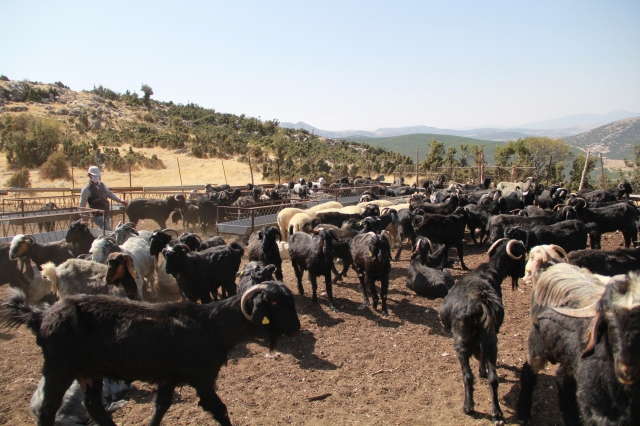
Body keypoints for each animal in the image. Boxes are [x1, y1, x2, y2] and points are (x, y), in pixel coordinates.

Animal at [440, 240, 524, 422]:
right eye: (522, 254)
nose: (522, 272)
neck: (490, 273)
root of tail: (479, 303)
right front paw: (482, 371)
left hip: (464, 343)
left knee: (469, 375)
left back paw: (471, 407)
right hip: (489, 340)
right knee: (491, 377)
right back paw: (494, 412)